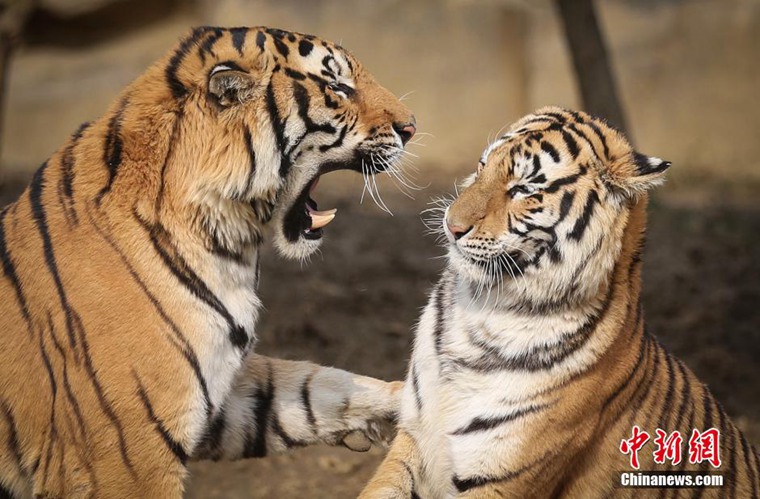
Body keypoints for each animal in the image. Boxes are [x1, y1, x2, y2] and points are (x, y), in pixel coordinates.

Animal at [0, 27, 416, 499]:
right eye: (338, 87)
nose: (412, 128)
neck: (227, 245)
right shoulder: (128, 454)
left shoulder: (218, 391)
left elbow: (316, 385)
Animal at [360, 107, 756, 498]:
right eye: (482, 165)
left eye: (523, 189)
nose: (451, 226)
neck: (480, 308)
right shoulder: (414, 435)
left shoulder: (501, 474)